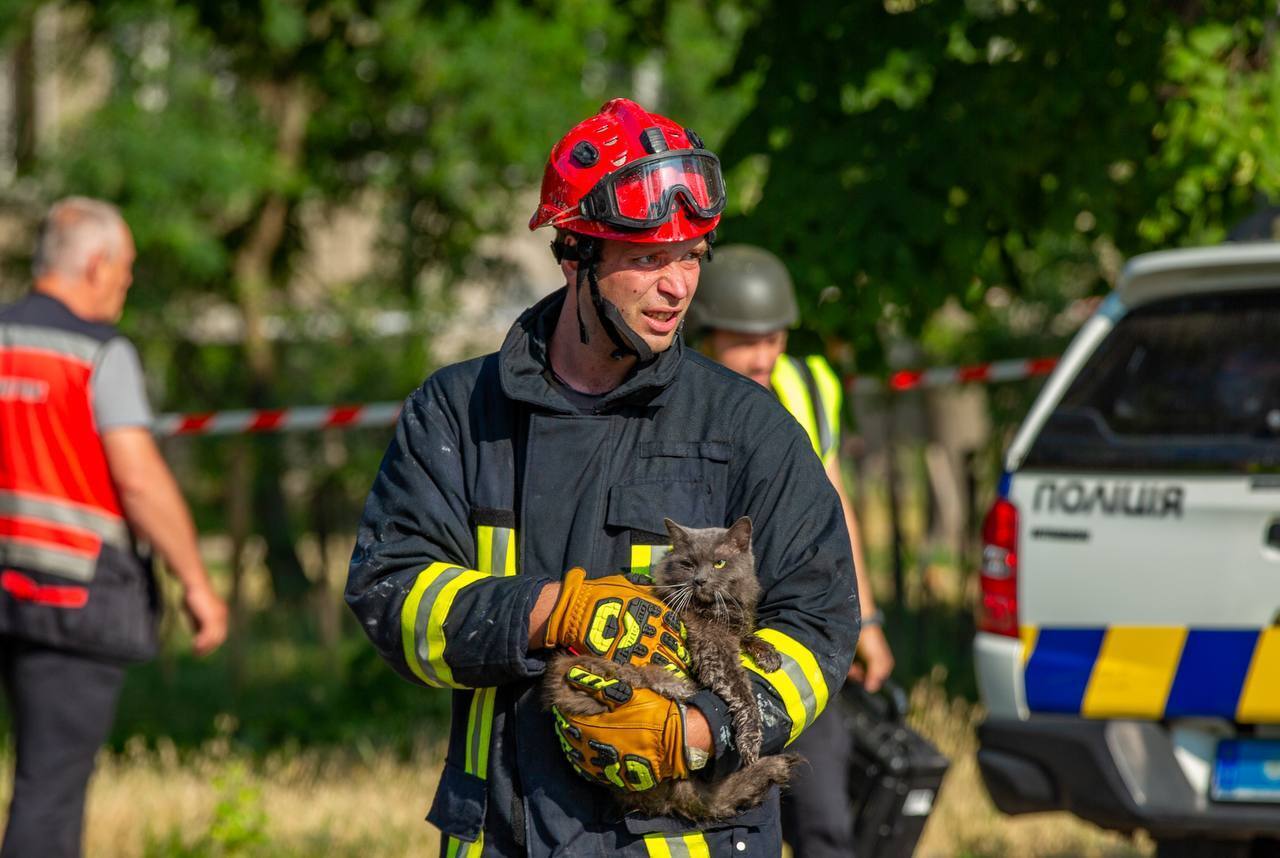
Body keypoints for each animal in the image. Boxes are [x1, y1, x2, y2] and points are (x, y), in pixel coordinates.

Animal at [542, 514, 798, 824]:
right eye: (688, 563)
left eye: (719, 563)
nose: (700, 580)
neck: (716, 607)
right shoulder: (713, 648)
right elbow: (742, 692)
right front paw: (751, 740)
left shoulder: (733, 626)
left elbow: (746, 635)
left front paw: (767, 653)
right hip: (590, 667)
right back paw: (677, 686)